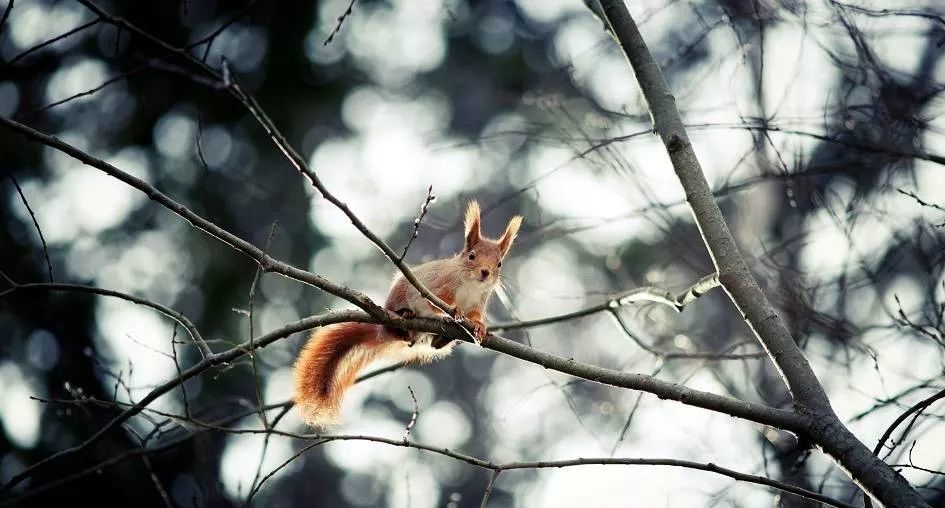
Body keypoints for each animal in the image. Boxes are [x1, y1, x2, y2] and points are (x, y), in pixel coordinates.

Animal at [294, 200, 524, 426]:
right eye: (472, 256)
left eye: (499, 263)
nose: (485, 273)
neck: (471, 285)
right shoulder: (439, 288)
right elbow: (437, 304)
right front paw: (452, 312)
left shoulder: (479, 303)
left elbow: (475, 316)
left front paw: (479, 327)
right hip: (397, 299)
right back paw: (405, 315)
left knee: (433, 345)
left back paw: (441, 339)